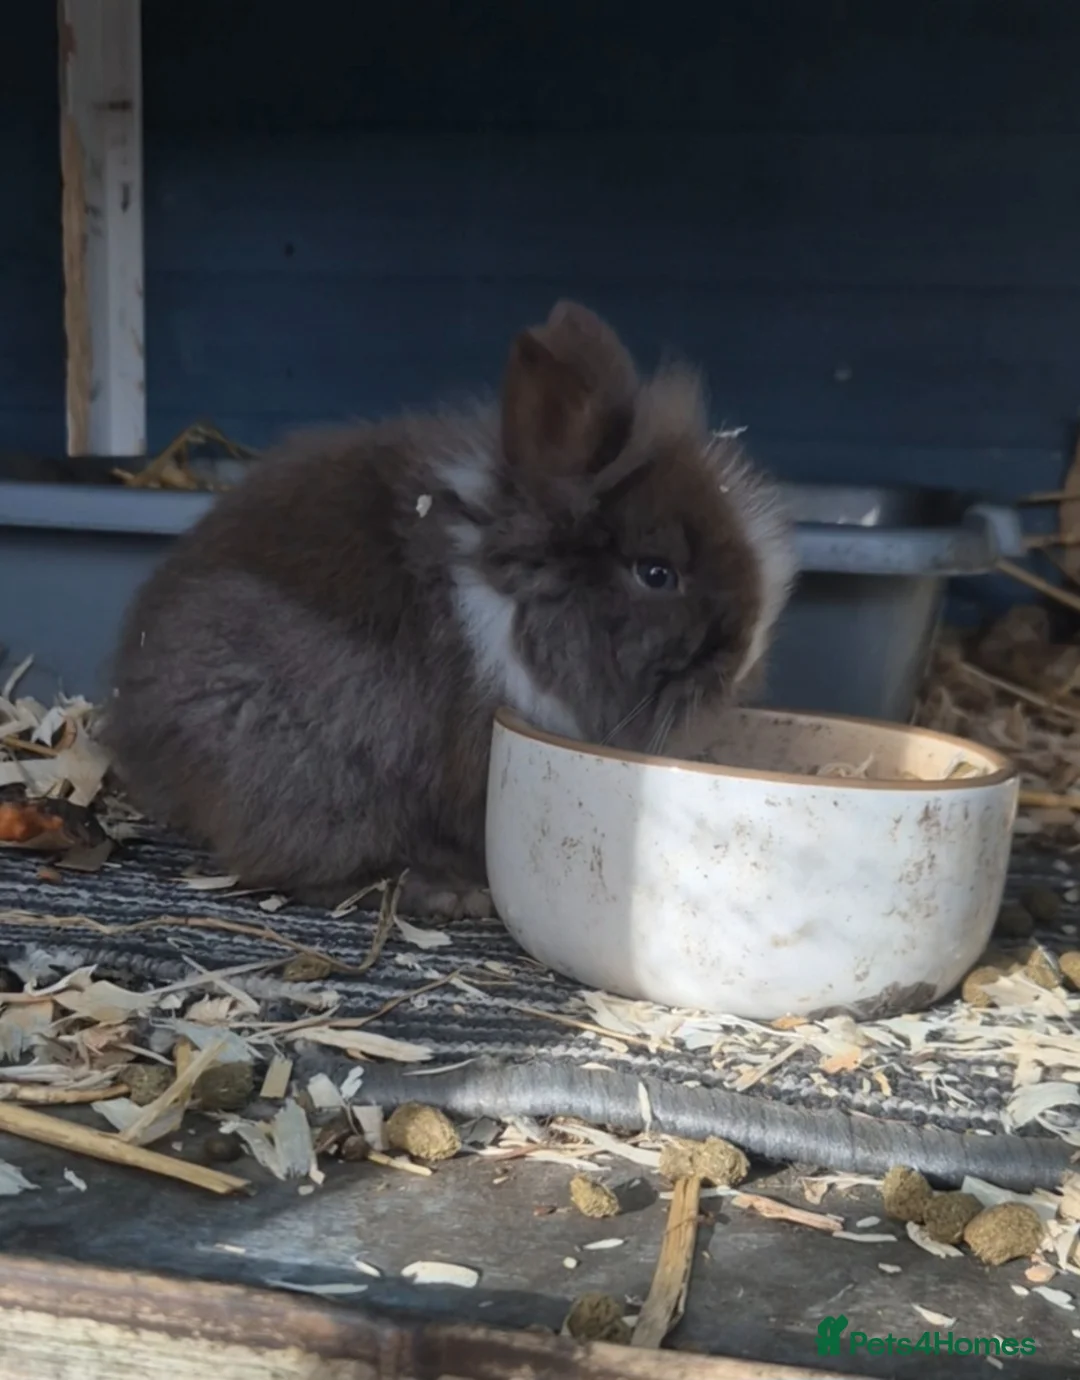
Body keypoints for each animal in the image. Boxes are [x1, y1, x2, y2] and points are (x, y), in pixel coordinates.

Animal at [101, 301, 797, 919]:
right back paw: (444, 895)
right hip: (305, 764)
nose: (743, 657)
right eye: (656, 574)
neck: (506, 594)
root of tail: (137, 729)